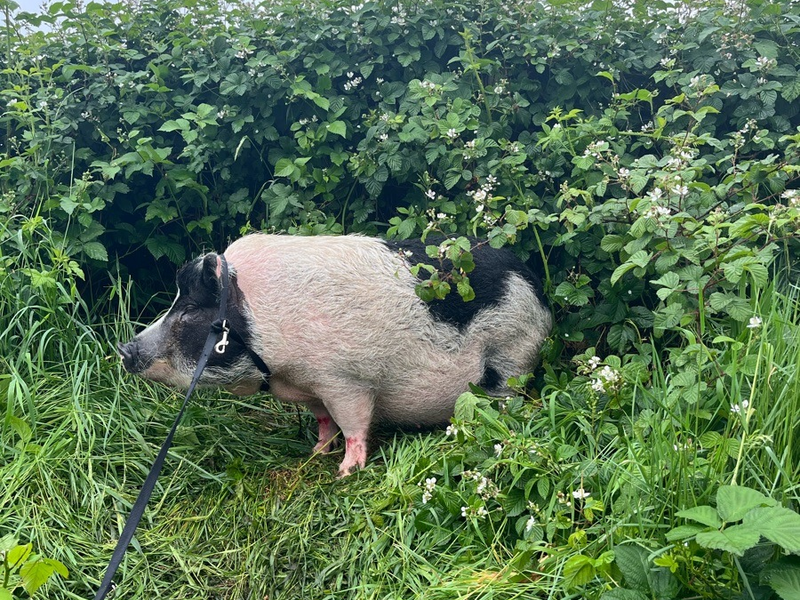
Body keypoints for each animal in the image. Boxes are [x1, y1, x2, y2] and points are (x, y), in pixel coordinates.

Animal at [118, 234, 552, 476]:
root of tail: (535, 285)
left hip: (512, 351)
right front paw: (314, 453)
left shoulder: (345, 380)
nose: (124, 348)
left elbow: (354, 423)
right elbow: (324, 420)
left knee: (507, 394)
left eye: (191, 310)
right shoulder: (310, 387)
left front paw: (344, 474)